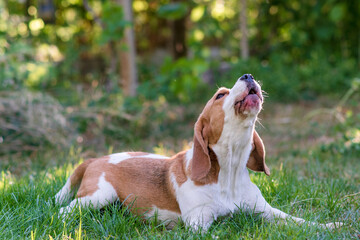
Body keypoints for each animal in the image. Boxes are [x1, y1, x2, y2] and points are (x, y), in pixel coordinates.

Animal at [54, 74, 338, 230]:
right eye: (220, 95)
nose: (247, 75)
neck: (229, 170)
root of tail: (96, 158)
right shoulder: (199, 223)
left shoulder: (266, 212)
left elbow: (299, 221)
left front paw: (331, 226)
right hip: (98, 196)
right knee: (64, 211)